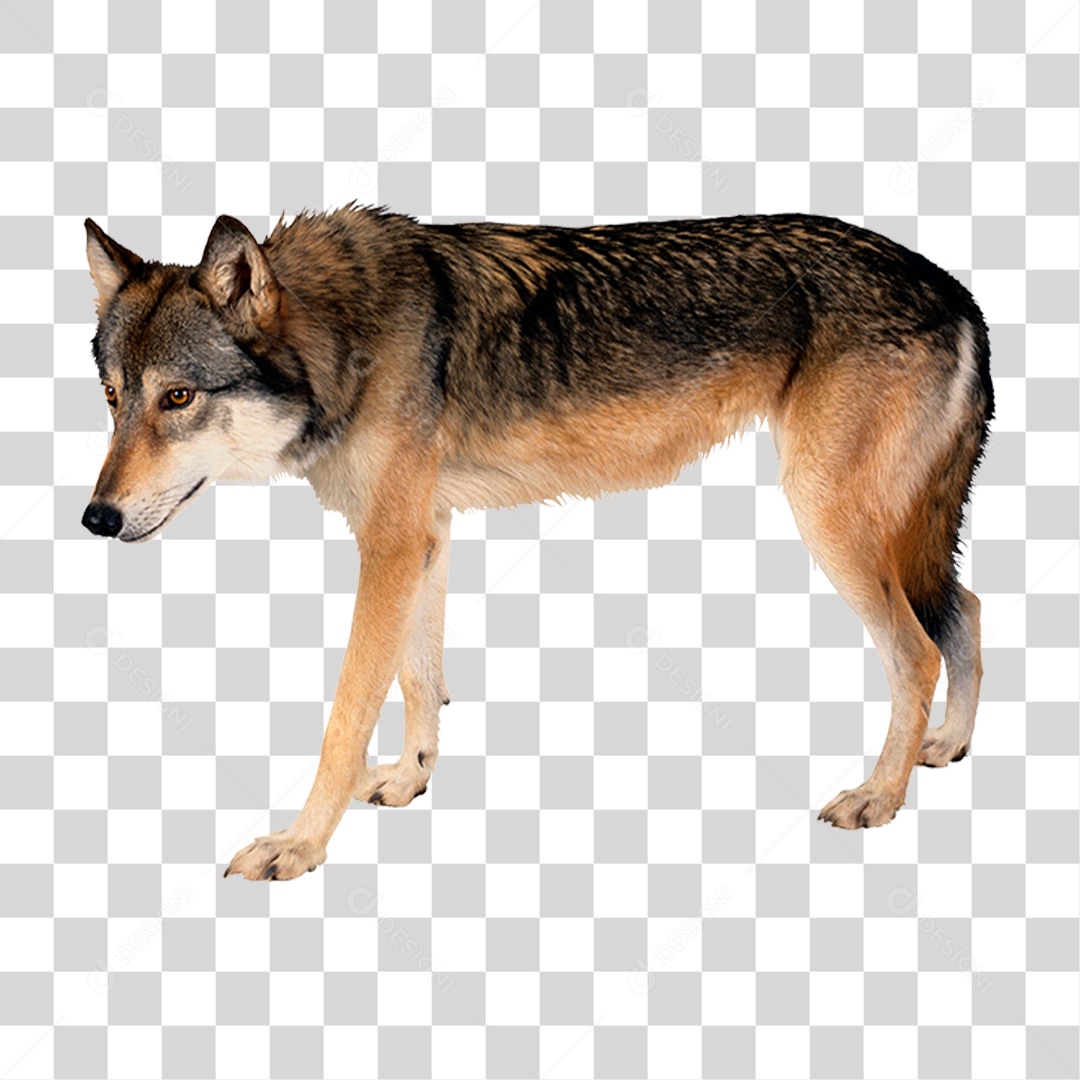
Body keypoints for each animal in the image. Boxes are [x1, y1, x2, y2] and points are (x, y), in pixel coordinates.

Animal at [82, 207, 993, 879]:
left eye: (179, 397)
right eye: (114, 396)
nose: (95, 519)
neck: (345, 337)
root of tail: (954, 286)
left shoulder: (389, 543)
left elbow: (347, 717)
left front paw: (299, 846)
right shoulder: (423, 534)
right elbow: (420, 680)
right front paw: (410, 778)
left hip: (827, 517)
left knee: (917, 650)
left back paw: (879, 797)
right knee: (971, 607)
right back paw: (946, 747)